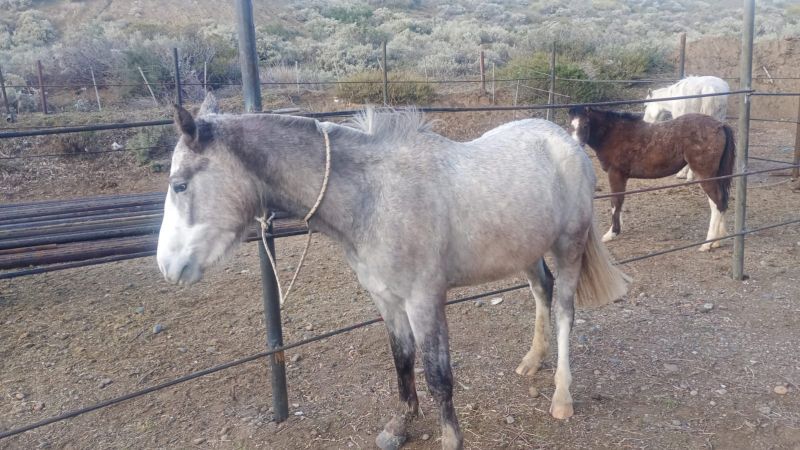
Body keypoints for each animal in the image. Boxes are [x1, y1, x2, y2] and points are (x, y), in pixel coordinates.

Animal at [157, 93, 630, 450]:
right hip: (526, 252)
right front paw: (400, 425)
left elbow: (438, 375)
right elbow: (402, 360)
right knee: (541, 292)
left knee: (565, 309)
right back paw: (532, 361)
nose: (167, 266)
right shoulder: (386, 299)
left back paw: (562, 397)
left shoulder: (424, 301)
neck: (374, 197)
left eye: (180, 184)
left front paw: (450, 438)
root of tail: (564, 140)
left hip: (568, 246)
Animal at [568, 106, 735, 252]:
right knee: (720, 202)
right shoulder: (621, 176)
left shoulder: (615, 174)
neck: (613, 134)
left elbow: (615, 201)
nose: (576, 147)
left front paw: (612, 233)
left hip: (704, 175)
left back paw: (707, 244)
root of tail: (720, 125)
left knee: (717, 203)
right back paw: (718, 241)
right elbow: (620, 202)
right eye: (570, 126)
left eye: (585, 125)